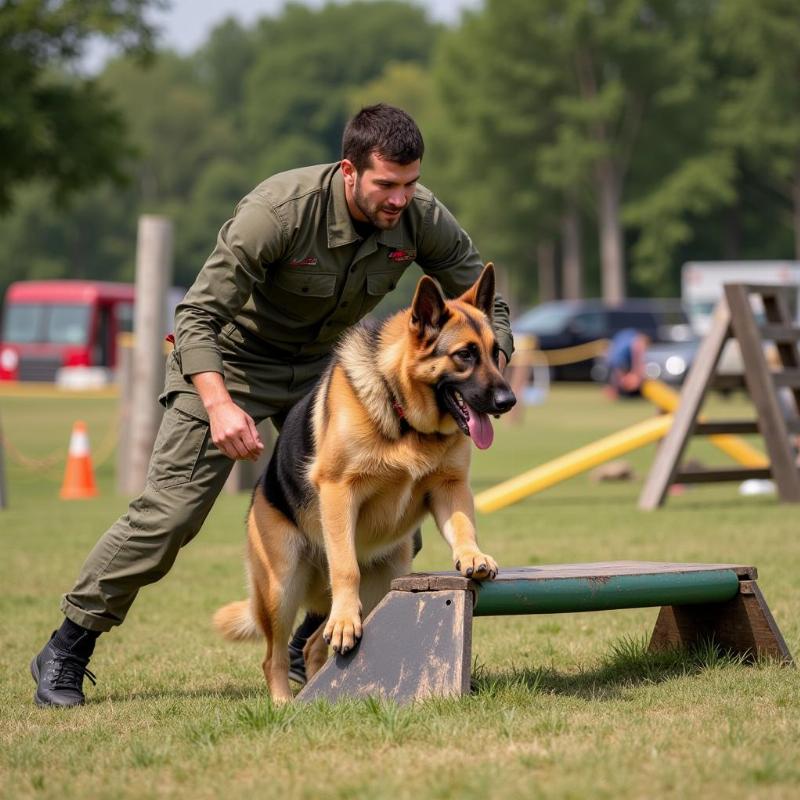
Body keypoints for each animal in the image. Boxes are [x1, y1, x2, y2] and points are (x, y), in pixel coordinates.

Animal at [212, 264, 516, 700]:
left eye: (495, 353)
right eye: (465, 355)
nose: (508, 402)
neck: (405, 417)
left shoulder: (451, 488)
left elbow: (463, 527)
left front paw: (472, 556)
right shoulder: (340, 492)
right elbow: (345, 568)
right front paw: (343, 622)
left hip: (383, 584)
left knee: (311, 643)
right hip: (282, 585)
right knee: (274, 656)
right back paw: (284, 701)